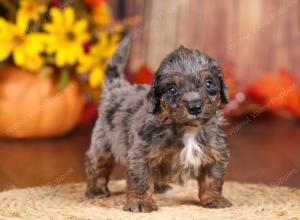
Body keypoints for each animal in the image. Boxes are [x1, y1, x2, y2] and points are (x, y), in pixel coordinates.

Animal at [84, 37, 232, 212]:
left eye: (208, 83)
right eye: (172, 89)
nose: (195, 107)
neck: (187, 128)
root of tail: (117, 88)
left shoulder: (216, 153)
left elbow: (213, 179)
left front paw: (214, 198)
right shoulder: (141, 154)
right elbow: (141, 179)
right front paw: (141, 202)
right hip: (102, 145)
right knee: (97, 166)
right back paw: (95, 188)